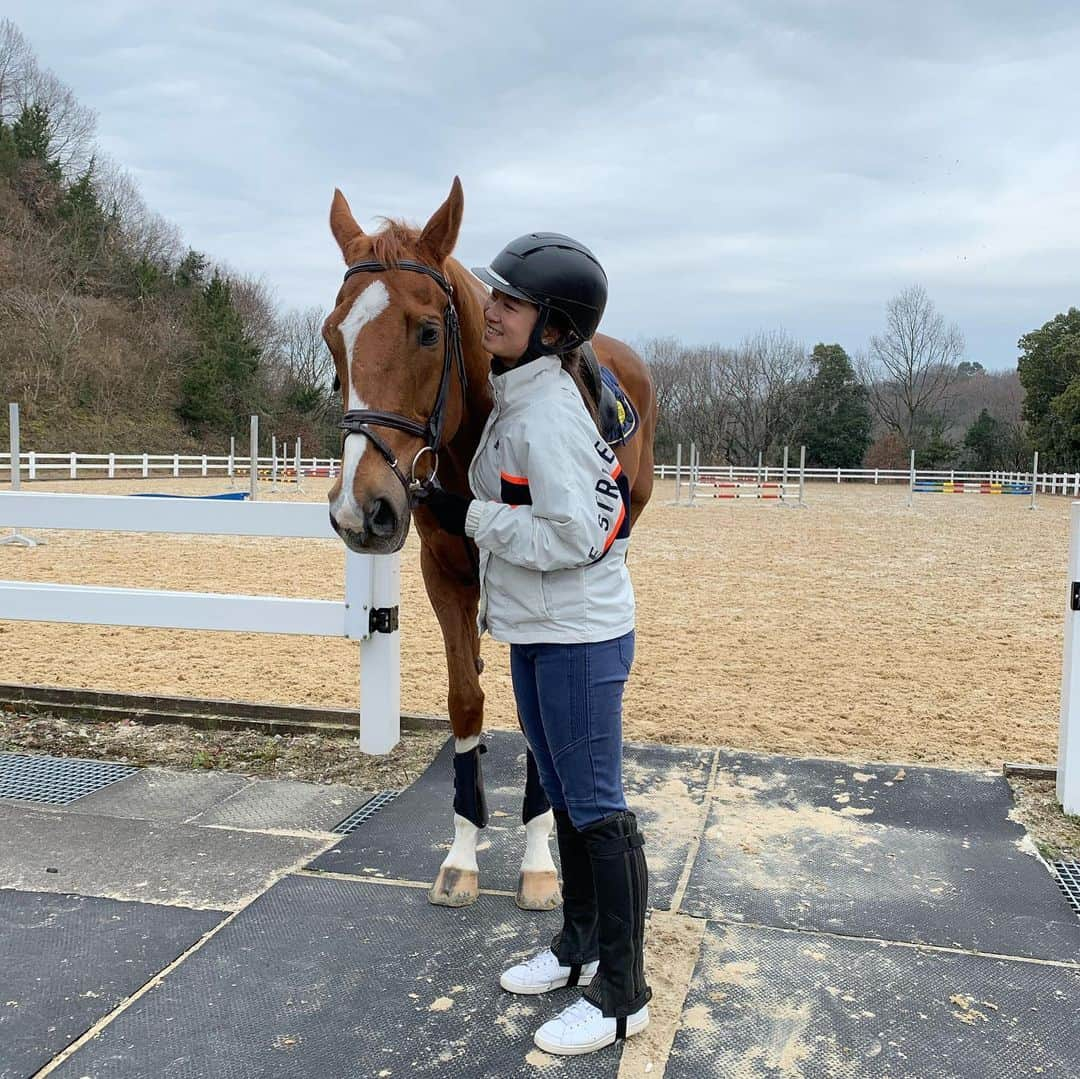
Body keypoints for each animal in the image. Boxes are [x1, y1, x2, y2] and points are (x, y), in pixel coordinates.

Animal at [319, 179, 656, 911]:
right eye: (333, 337)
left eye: (427, 330)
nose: (362, 510)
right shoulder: (442, 574)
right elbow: (466, 701)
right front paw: (462, 855)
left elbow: (540, 719)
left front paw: (539, 862)